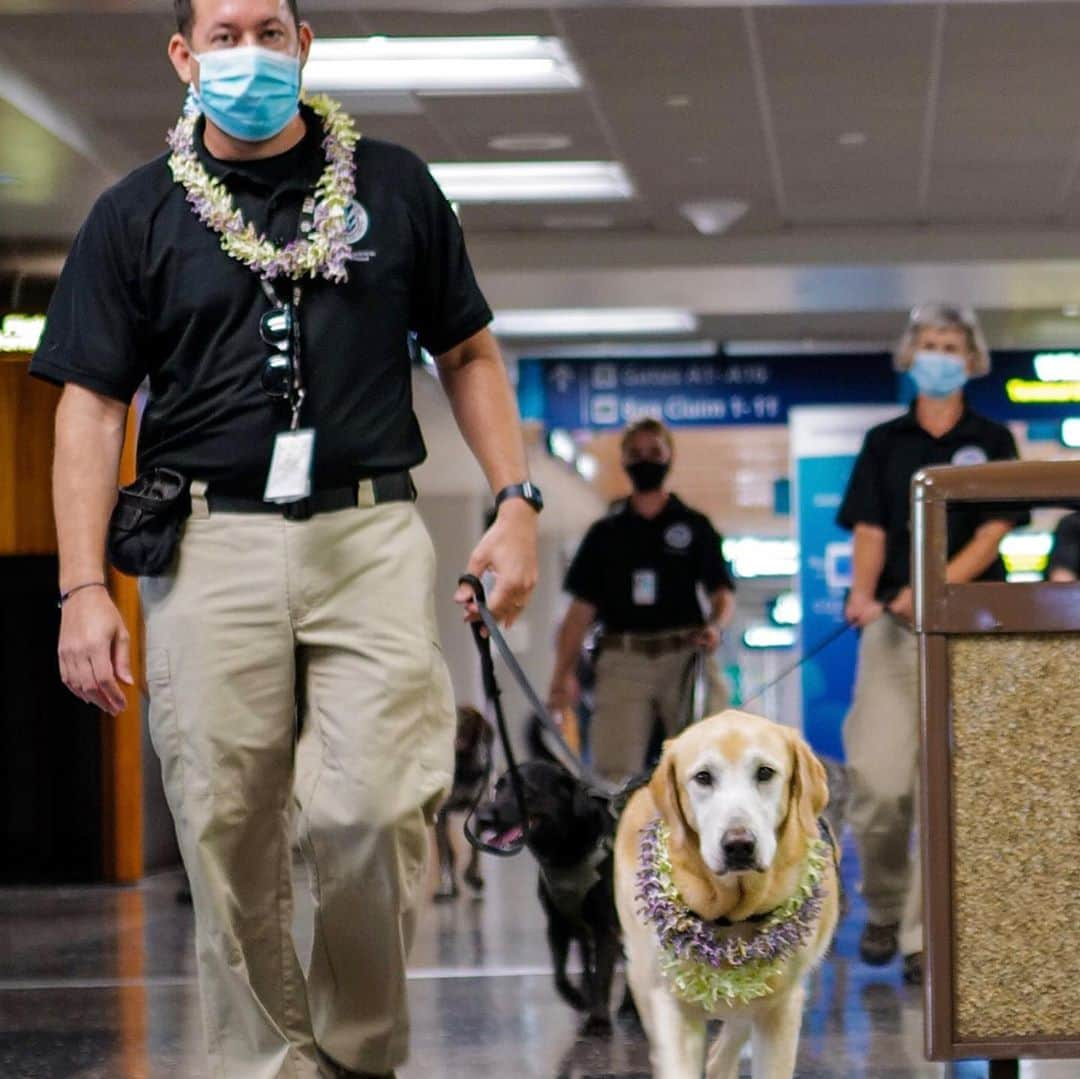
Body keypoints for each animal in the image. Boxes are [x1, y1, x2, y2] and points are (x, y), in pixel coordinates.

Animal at [477, 756, 622, 1032]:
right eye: (498, 787)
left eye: (525, 790)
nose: (483, 817)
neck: (565, 854)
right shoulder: (557, 923)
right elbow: (559, 976)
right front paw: (577, 998)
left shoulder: (606, 927)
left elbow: (602, 974)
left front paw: (597, 1018)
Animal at [617, 708, 833, 1079]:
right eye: (703, 777)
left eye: (765, 772)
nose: (739, 845)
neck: (731, 915)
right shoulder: (672, 1004)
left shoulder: (780, 1007)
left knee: (722, 1054)